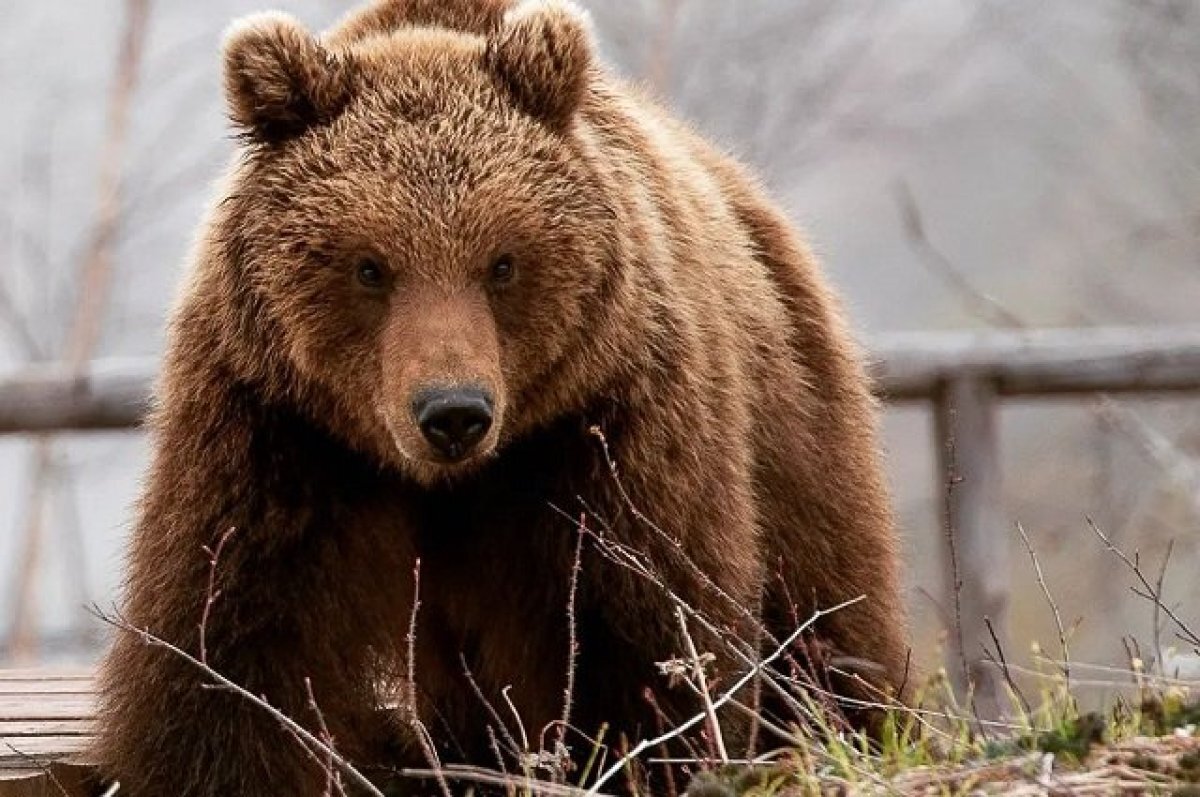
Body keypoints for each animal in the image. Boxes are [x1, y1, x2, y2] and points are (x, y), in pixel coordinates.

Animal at [96, 0, 907, 792]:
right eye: (370, 266)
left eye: (502, 262)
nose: (452, 412)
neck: (445, 481)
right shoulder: (279, 430)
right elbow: (233, 648)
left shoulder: (606, 427)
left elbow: (643, 638)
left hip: (793, 419)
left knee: (825, 613)